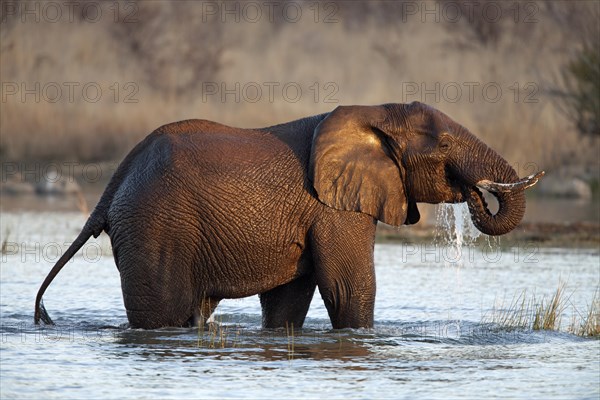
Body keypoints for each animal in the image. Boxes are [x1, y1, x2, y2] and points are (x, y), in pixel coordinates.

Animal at [34, 102, 544, 328]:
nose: (474, 189)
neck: (377, 111)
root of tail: (114, 183)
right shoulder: (334, 207)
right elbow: (348, 287)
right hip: (154, 226)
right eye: (443, 144)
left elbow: (287, 302)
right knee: (167, 312)